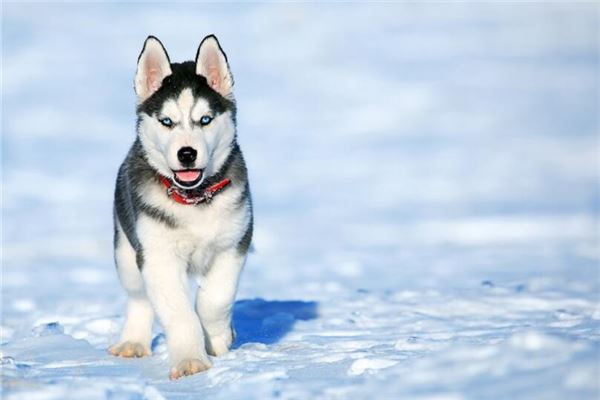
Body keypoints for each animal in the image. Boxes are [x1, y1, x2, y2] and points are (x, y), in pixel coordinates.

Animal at [109, 33, 252, 378]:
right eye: (167, 121)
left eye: (205, 120)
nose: (187, 154)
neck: (194, 200)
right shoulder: (157, 256)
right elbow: (178, 312)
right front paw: (191, 360)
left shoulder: (234, 243)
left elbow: (215, 299)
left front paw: (218, 338)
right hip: (126, 251)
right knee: (139, 298)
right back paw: (133, 342)